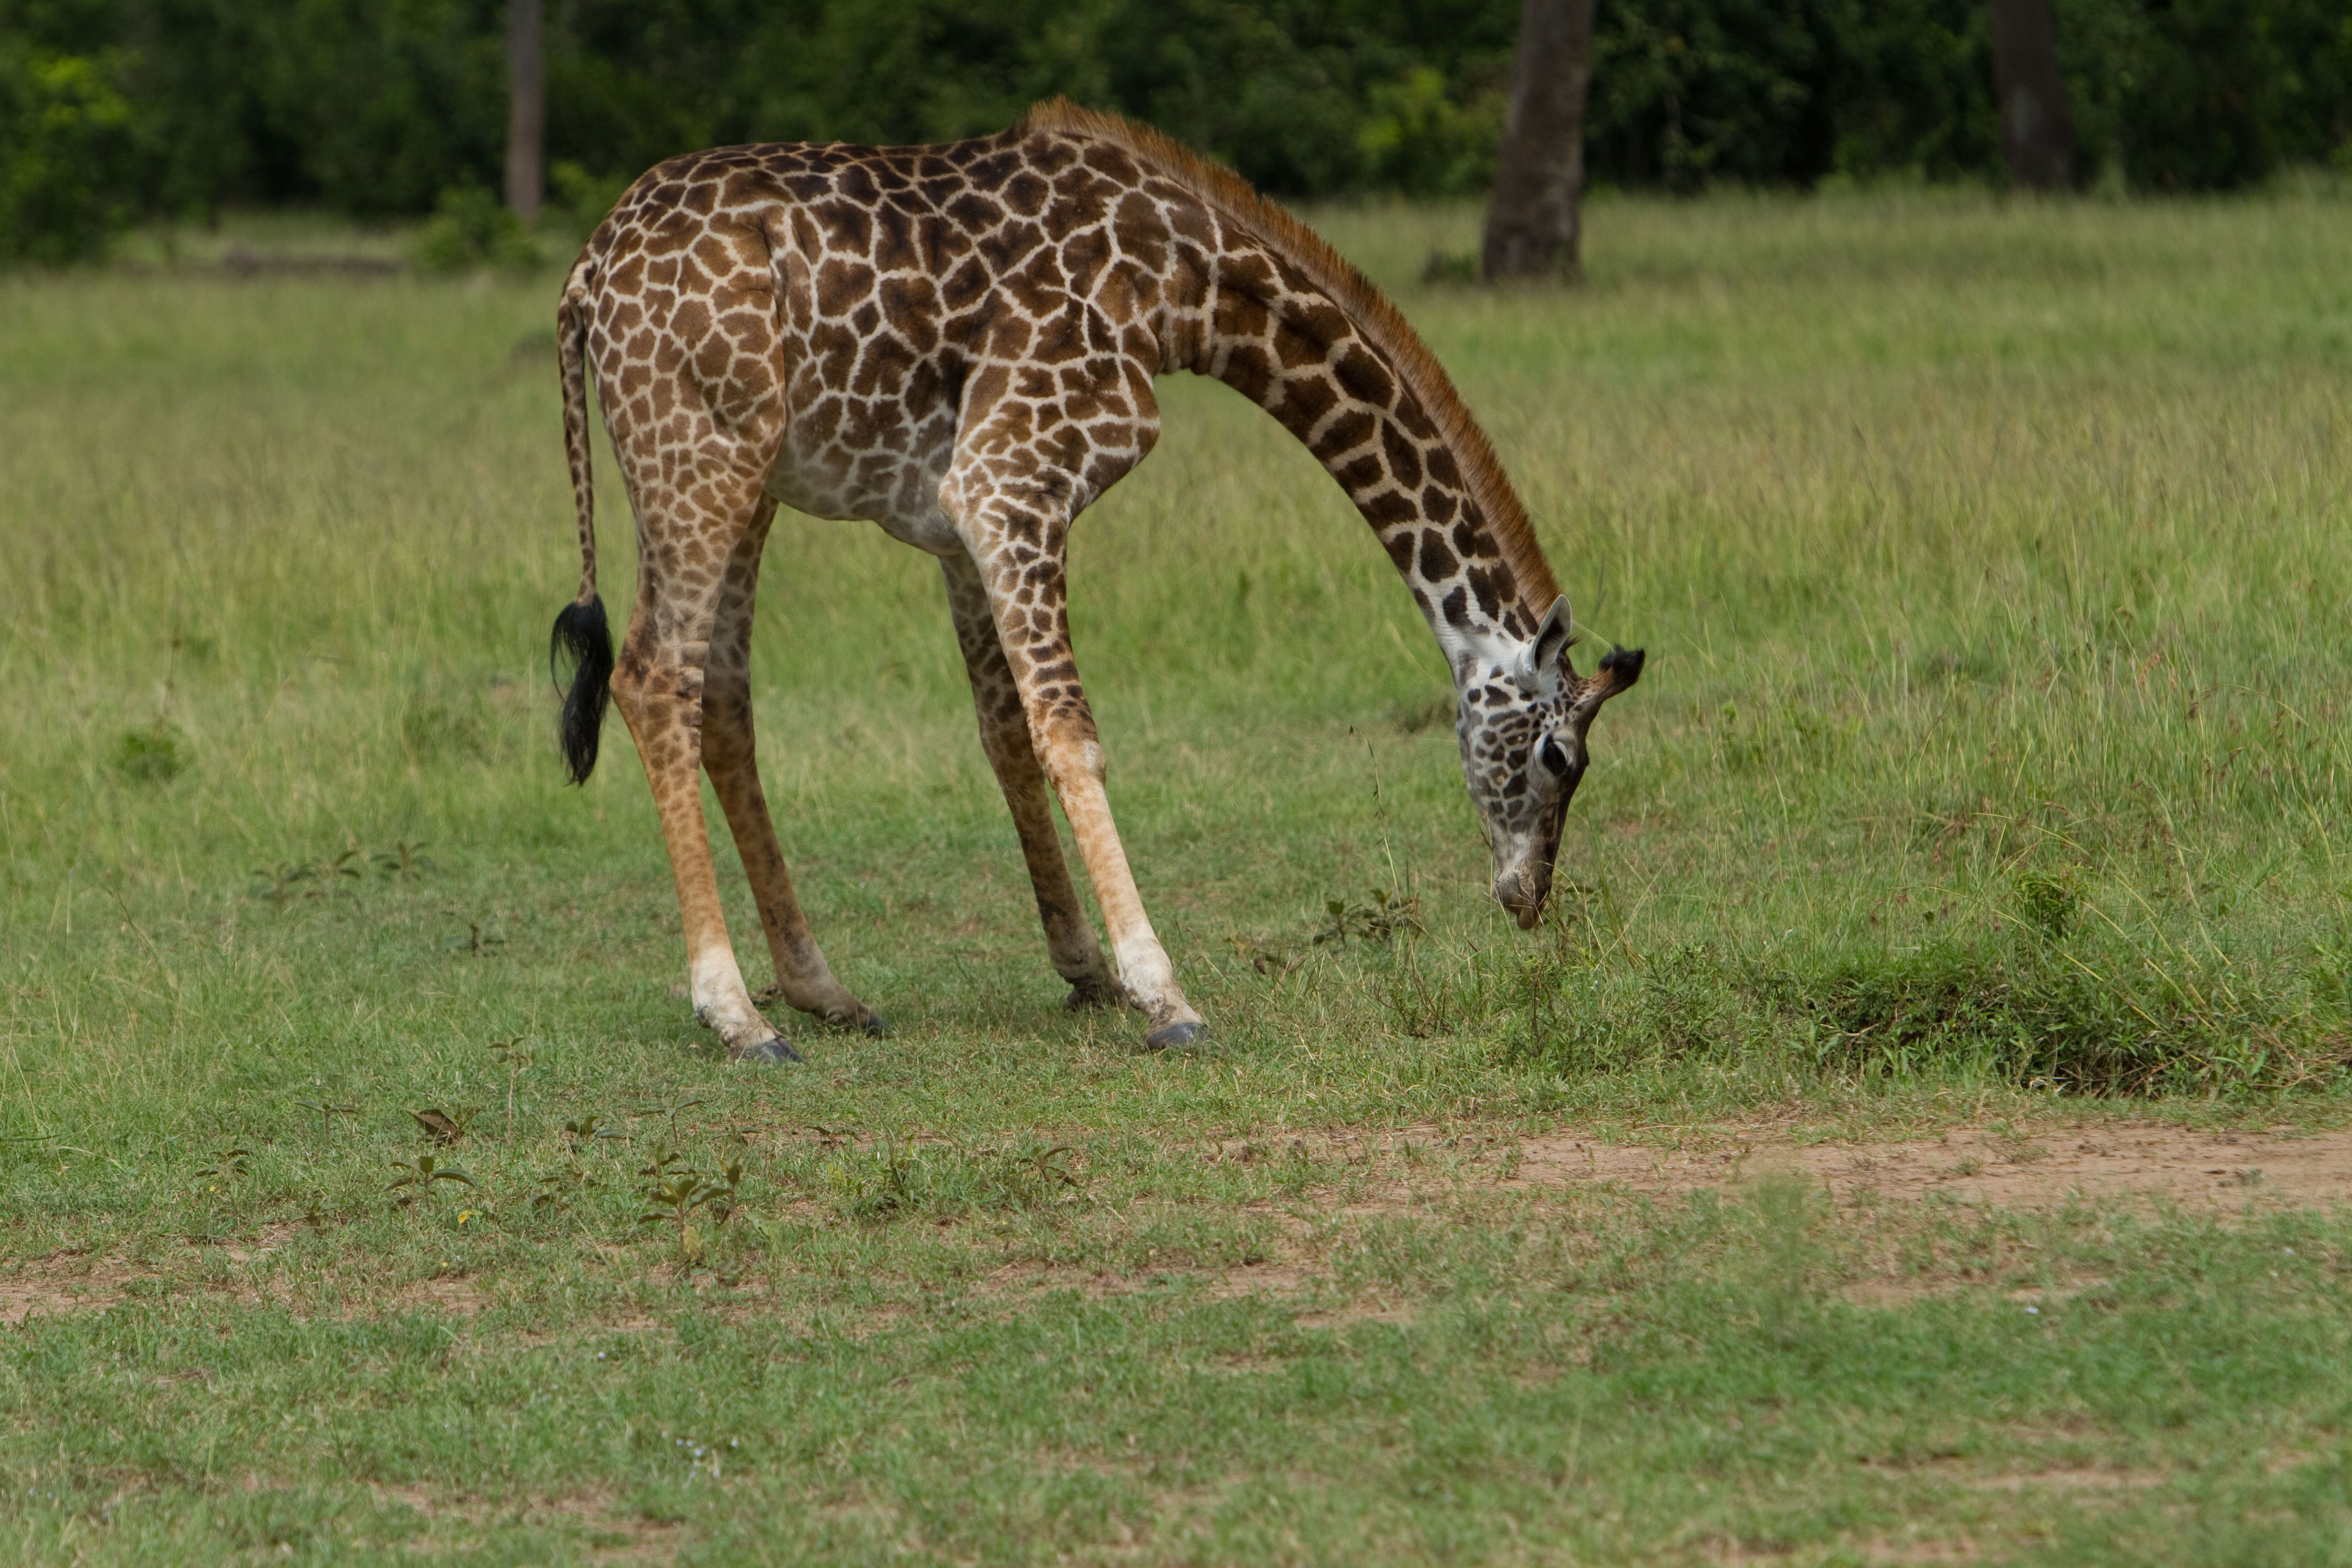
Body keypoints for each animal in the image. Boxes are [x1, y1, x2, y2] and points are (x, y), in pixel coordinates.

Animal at [548, 99, 1644, 1064]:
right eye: (1558, 759)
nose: (1527, 897)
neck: (1183, 288)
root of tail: (586, 278)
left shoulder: (958, 523)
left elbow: (1005, 733)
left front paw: (1084, 966)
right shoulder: (1009, 482)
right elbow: (1069, 733)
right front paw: (1162, 992)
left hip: (744, 476)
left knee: (722, 695)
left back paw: (822, 991)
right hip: (702, 456)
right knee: (653, 676)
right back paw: (737, 1015)